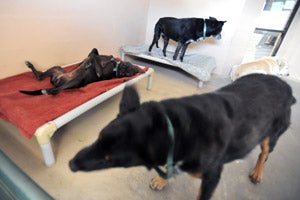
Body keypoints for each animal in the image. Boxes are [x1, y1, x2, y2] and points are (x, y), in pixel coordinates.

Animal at [69, 74, 296, 199]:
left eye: (110, 160)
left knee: (264, 154)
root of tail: (286, 86)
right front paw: (162, 180)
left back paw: (257, 172)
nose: (70, 165)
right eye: (98, 137)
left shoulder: (211, 178)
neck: (174, 127)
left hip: (271, 136)